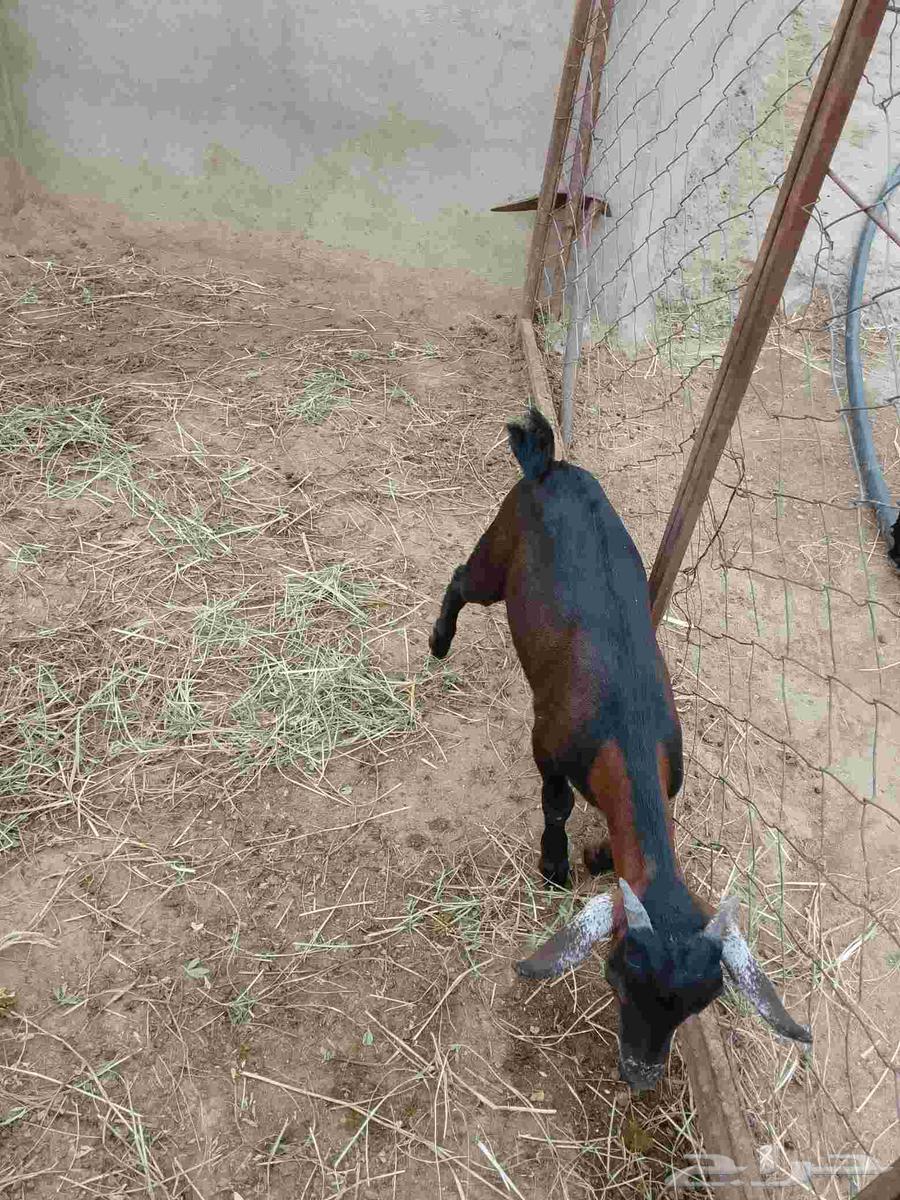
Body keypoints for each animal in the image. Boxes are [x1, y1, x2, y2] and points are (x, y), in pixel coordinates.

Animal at [429, 410, 811, 1091]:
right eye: (615, 975)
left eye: (699, 1004)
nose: (640, 1074)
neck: (625, 731)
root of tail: (549, 464)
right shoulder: (547, 745)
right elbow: (555, 804)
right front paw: (555, 865)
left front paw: (598, 854)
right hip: (497, 551)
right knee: (459, 581)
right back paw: (438, 643)